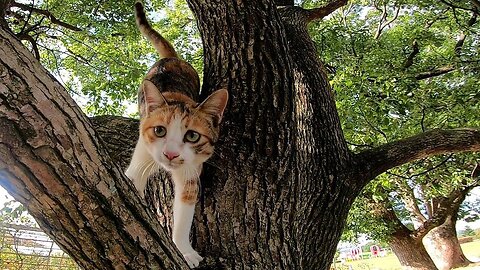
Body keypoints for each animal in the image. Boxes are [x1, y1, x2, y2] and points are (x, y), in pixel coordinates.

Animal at [125, 2, 227, 268]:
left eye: (192, 136)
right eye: (159, 130)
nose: (170, 154)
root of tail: (171, 58)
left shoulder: (190, 174)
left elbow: (183, 217)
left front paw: (185, 251)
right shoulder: (141, 158)